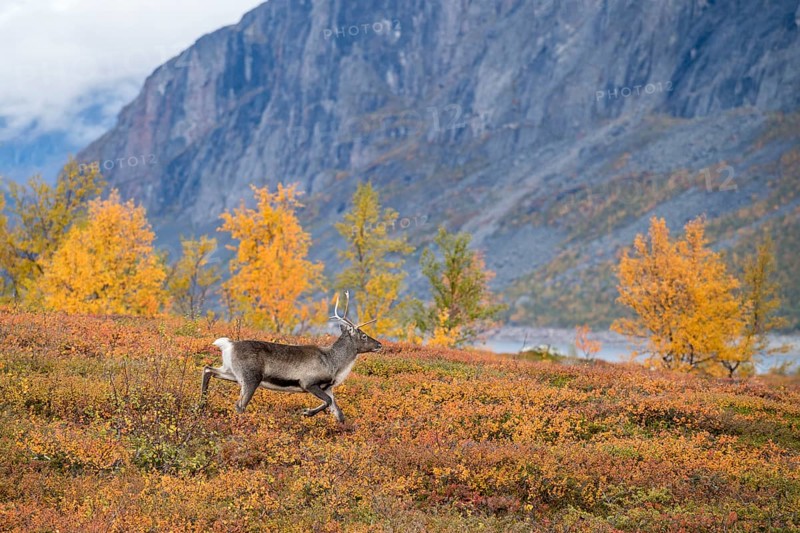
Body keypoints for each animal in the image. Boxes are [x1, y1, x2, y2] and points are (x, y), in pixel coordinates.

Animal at [200, 291, 381, 423]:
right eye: (363, 336)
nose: (379, 344)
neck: (335, 364)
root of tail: (229, 345)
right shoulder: (308, 382)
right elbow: (327, 402)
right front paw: (306, 412)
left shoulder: (328, 388)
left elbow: (339, 414)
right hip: (250, 377)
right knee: (239, 405)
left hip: (231, 372)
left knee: (208, 369)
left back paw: (201, 406)